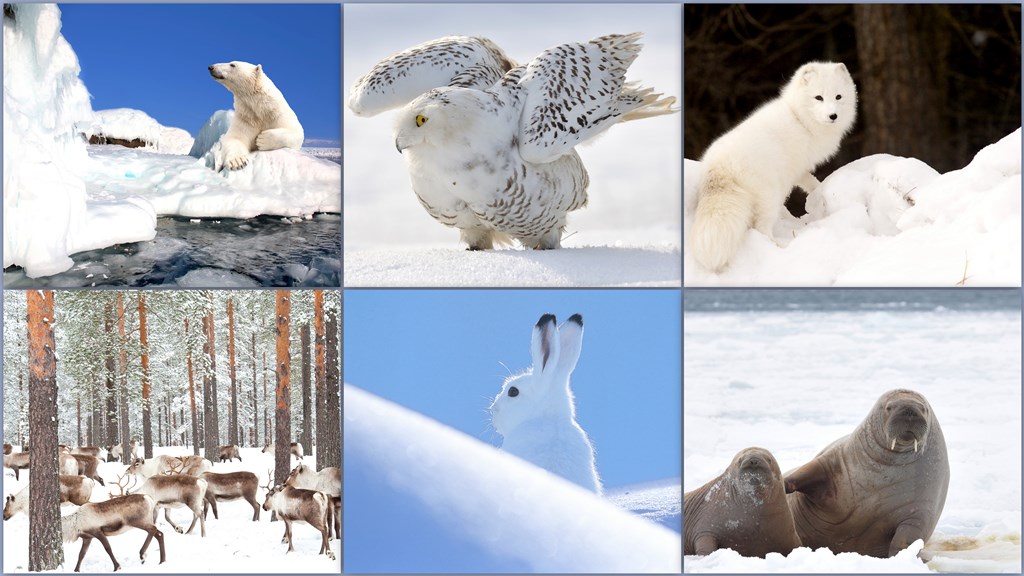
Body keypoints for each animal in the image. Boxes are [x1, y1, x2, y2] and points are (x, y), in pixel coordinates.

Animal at [688, 60, 856, 270]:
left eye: (838, 97)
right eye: (819, 97)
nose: (833, 115)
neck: (800, 119)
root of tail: (719, 167)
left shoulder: (798, 170)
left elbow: (810, 182)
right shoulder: (798, 166)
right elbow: (812, 182)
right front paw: (821, 190)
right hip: (770, 197)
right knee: (760, 227)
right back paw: (778, 246)